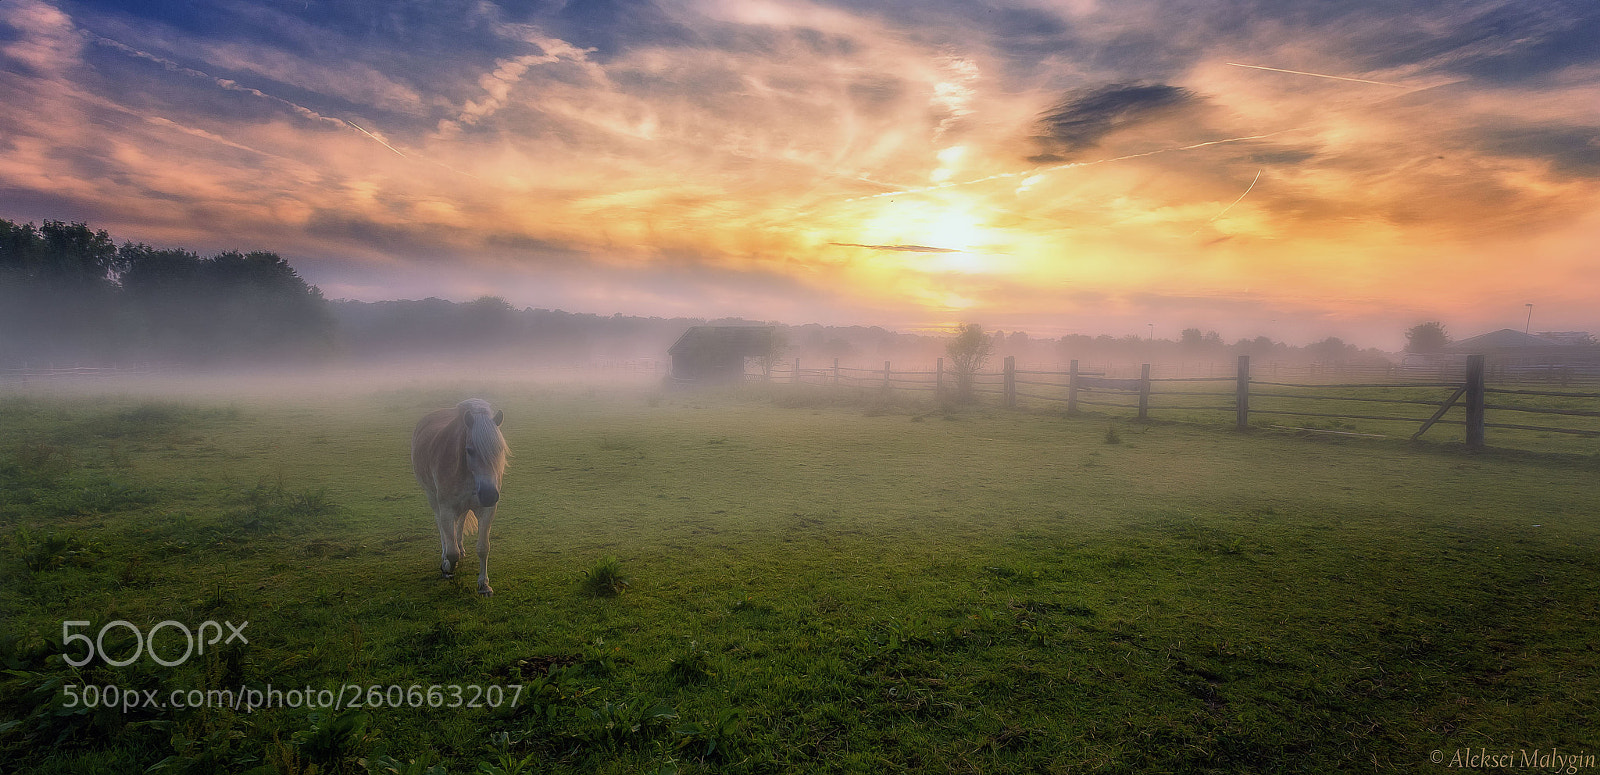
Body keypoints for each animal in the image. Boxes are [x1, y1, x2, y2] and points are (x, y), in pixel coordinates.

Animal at [411, 399, 509, 596]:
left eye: (499, 449)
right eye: (469, 450)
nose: (489, 495)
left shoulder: (487, 510)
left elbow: (483, 548)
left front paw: (484, 585)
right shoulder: (446, 509)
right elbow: (451, 552)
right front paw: (447, 567)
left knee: (461, 521)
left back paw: (462, 548)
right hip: (432, 498)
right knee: (441, 528)